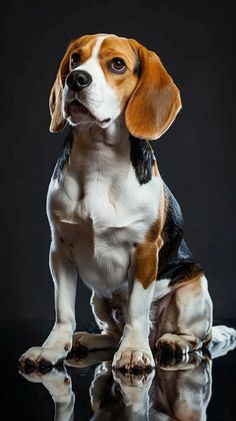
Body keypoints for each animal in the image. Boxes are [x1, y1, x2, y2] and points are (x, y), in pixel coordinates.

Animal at [18, 33, 236, 370]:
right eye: (75, 59)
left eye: (117, 64)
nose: (75, 78)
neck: (99, 158)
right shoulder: (60, 250)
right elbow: (63, 310)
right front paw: (52, 348)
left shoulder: (145, 252)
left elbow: (136, 308)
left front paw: (133, 350)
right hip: (99, 298)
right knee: (112, 333)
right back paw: (89, 340)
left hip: (193, 291)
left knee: (195, 339)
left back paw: (171, 342)